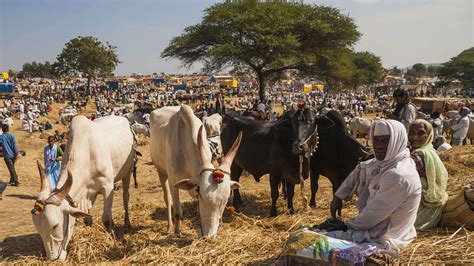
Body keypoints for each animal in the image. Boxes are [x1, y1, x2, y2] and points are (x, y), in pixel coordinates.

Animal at [32, 115, 135, 260]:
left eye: (55, 225)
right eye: (38, 229)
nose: (53, 259)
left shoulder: (108, 187)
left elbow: (106, 219)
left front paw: (111, 238)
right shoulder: (84, 196)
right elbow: (87, 219)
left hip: (128, 171)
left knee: (126, 197)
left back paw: (127, 223)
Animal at [151, 105, 243, 237]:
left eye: (225, 200)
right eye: (202, 196)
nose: (210, 236)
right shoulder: (173, 181)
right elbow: (177, 211)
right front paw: (177, 233)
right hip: (161, 171)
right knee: (167, 198)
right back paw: (169, 226)